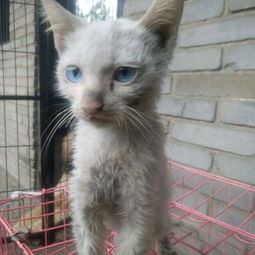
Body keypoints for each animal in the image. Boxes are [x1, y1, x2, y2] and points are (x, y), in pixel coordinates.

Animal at [42, 0, 184, 254]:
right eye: (74, 73)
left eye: (125, 74)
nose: (91, 105)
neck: (108, 142)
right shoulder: (84, 207)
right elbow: (89, 246)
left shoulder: (139, 213)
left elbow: (134, 245)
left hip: (158, 208)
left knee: (162, 230)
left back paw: (167, 248)